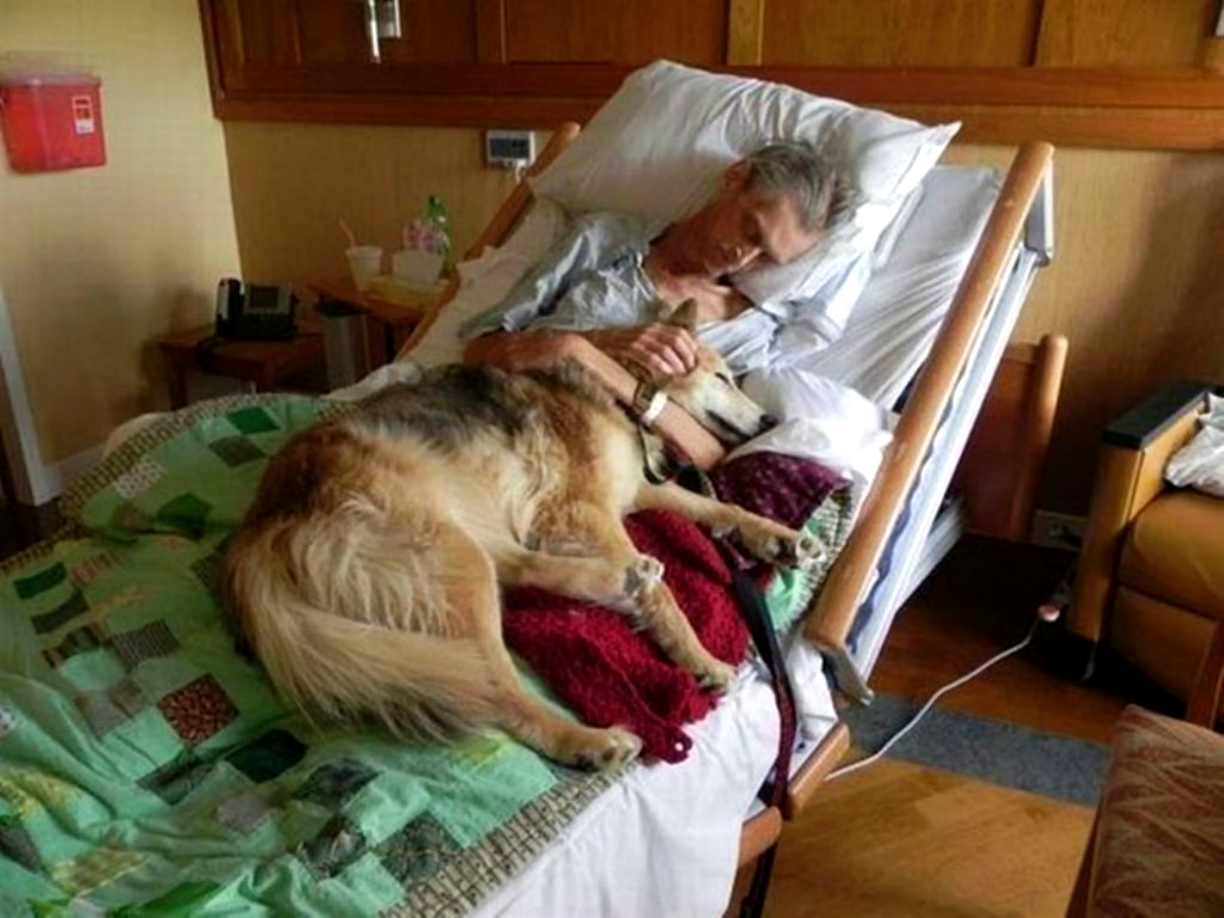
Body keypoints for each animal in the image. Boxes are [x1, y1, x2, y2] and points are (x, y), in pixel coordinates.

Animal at [224, 308, 818, 770]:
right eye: (724, 377)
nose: (770, 418)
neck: (619, 389)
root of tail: (262, 525)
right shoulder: (580, 510)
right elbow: (667, 597)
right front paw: (696, 657)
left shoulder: (632, 492)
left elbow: (718, 507)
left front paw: (780, 538)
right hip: (450, 554)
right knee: (499, 686)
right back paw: (586, 739)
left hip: (465, 529)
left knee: (524, 568)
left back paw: (619, 578)